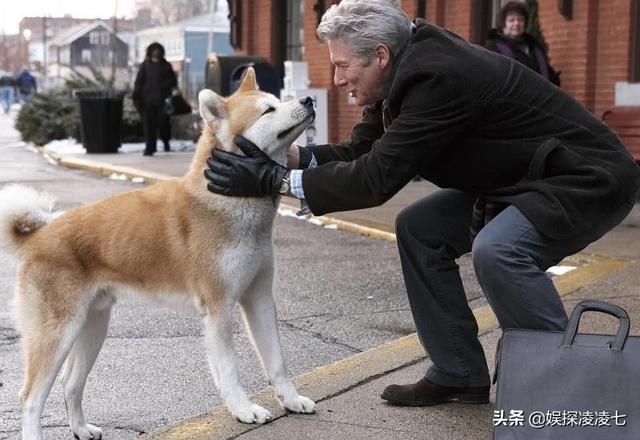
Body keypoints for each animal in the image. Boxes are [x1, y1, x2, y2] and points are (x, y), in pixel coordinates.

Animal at [0, 69, 318, 440]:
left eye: (278, 100)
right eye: (268, 110)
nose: (308, 99)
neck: (227, 199)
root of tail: (40, 236)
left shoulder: (260, 298)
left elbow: (277, 361)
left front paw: (291, 400)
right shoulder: (219, 307)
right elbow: (229, 370)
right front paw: (243, 410)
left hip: (93, 328)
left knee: (70, 384)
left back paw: (80, 428)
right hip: (57, 334)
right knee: (31, 398)